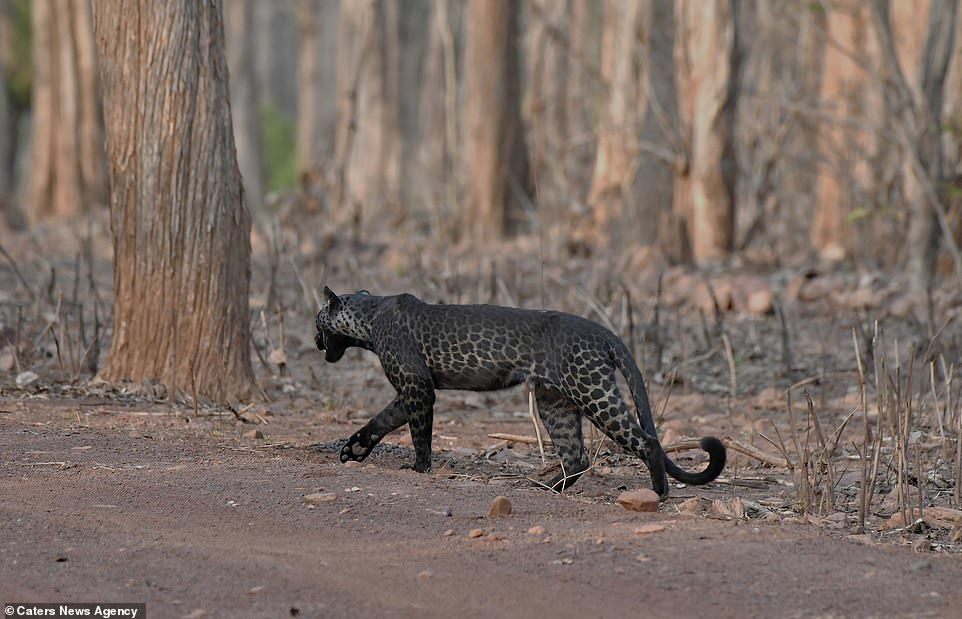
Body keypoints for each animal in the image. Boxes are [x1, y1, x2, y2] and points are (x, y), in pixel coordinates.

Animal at [312, 286, 724, 498]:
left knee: (644, 440)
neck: (368, 317)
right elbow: (383, 419)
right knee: (576, 455)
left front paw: (419, 468)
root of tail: (602, 331)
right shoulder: (409, 389)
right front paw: (353, 450)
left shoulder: (417, 385)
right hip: (555, 401)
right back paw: (544, 486)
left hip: (591, 390)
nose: (315, 341)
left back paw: (658, 493)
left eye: (317, 321)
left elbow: (418, 431)